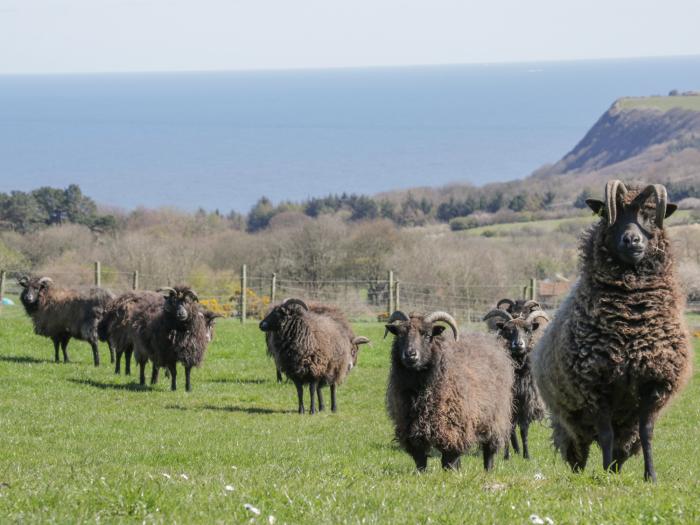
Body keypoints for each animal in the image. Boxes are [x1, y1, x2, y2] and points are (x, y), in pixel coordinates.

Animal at [386, 310, 512, 468]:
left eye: (427, 335)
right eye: (400, 334)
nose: (410, 355)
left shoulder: (454, 430)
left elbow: (449, 462)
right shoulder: (412, 432)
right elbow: (421, 463)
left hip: (494, 419)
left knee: (489, 452)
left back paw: (487, 470)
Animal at [484, 308, 548, 458]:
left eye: (528, 330)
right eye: (508, 330)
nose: (518, 344)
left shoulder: (526, 401)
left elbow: (524, 430)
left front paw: (526, 455)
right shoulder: (509, 401)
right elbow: (510, 429)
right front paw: (507, 456)